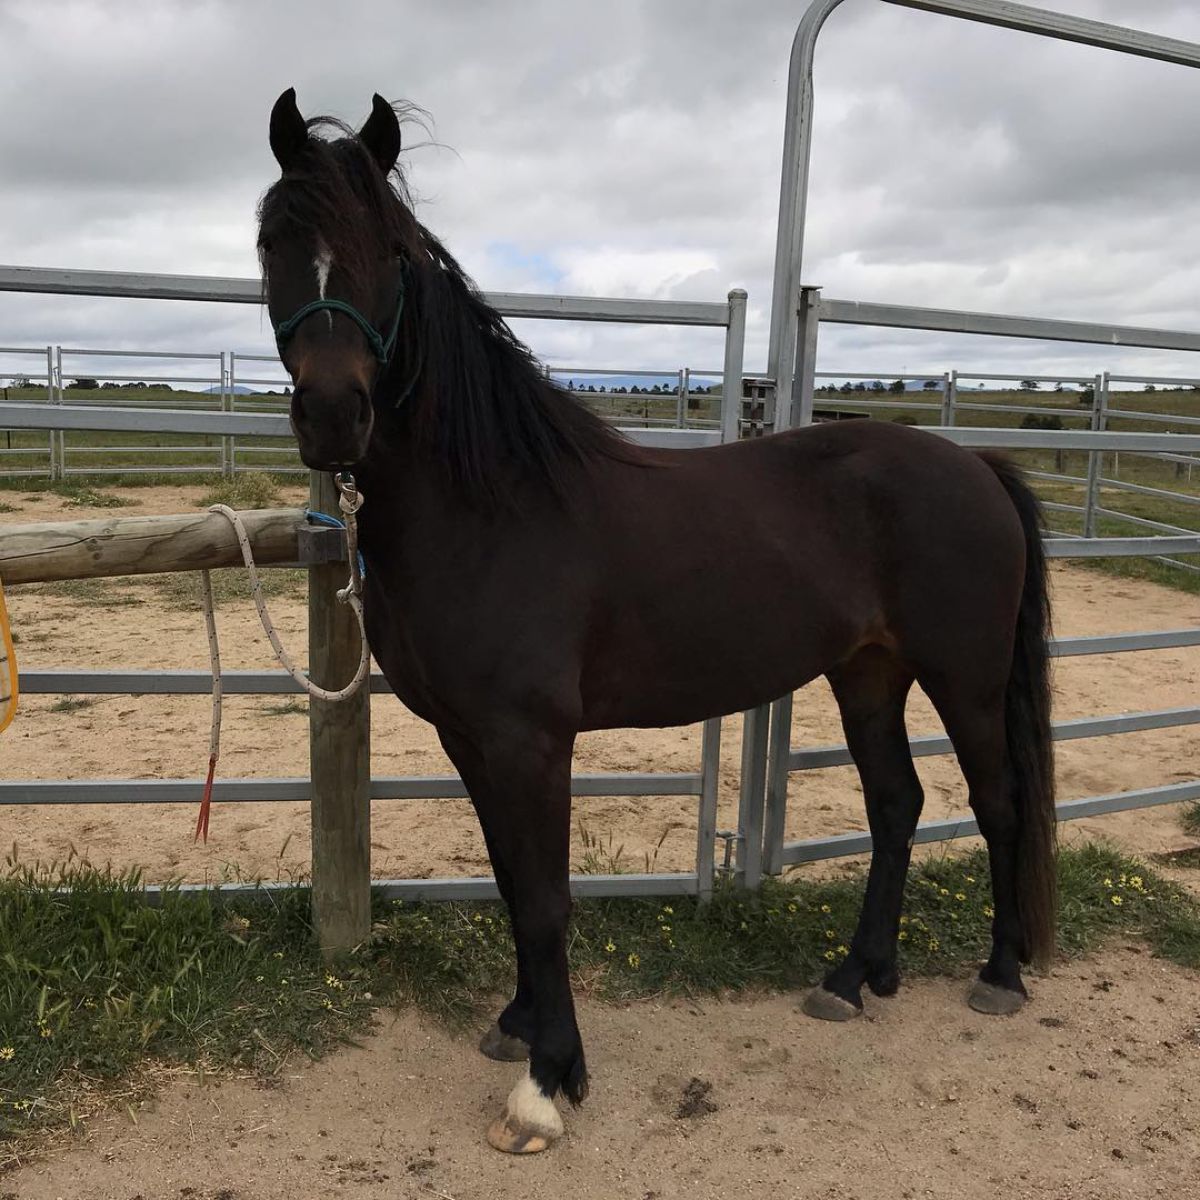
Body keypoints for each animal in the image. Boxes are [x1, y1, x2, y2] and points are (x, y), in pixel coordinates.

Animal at [258, 88, 1056, 1156]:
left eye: (388, 249)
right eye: (272, 242)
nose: (335, 416)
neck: (491, 505)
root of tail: (977, 467)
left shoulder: (529, 740)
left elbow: (545, 899)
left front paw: (549, 1082)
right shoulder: (472, 739)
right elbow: (510, 881)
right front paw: (521, 1027)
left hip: (963, 675)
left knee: (997, 801)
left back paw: (999, 975)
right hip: (868, 672)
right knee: (897, 805)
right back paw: (856, 978)